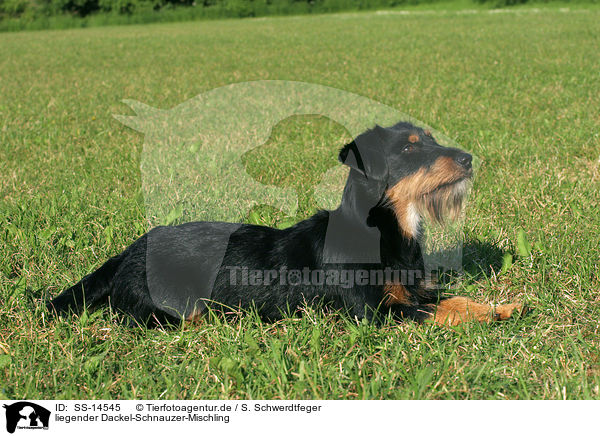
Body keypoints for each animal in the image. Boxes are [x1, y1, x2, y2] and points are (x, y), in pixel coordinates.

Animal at [48, 121, 520, 326]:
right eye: (409, 148)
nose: (469, 158)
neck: (387, 230)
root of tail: (130, 250)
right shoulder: (374, 313)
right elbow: (436, 311)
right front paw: (493, 314)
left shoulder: (411, 292)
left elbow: (452, 300)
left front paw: (502, 306)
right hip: (174, 308)